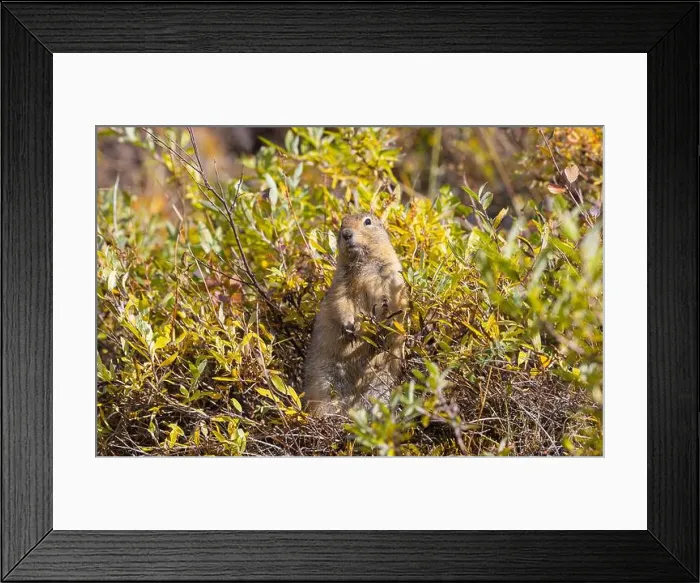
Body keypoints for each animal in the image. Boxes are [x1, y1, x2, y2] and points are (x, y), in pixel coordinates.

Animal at [303, 212, 408, 416]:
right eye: (342, 224)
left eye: (367, 221)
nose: (346, 234)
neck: (365, 263)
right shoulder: (341, 283)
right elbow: (342, 302)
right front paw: (349, 327)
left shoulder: (393, 279)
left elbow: (395, 306)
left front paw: (383, 330)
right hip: (323, 380)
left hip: (379, 386)